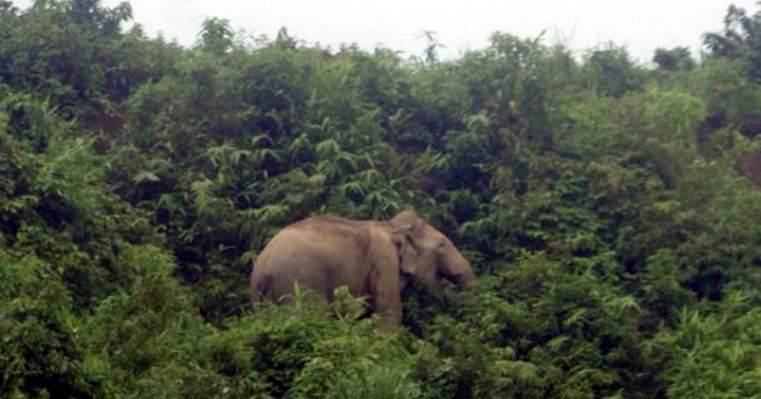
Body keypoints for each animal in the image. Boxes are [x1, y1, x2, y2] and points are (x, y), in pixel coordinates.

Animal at [251, 211, 476, 330]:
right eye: (441, 245)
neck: (390, 225)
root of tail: (263, 268)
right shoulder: (384, 261)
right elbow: (389, 314)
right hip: (298, 283)